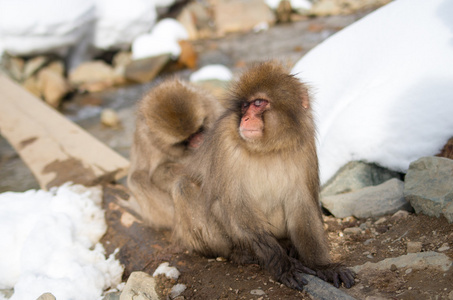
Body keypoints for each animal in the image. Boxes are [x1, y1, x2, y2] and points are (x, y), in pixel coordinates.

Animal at [127, 78, 221, 229]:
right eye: (186, 140)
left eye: (199, 130)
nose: (199, 140)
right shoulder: (146, 141)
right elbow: (157, 173)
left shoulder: (212, 105)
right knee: (137, 178)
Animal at [171, 61, 354, 290]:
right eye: (244, 106)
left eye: (258, 103)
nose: (246, 118)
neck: (268, 148)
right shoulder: (224, 142)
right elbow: (234, 206)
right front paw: (284, 265)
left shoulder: (304, 144)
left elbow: (302, 203)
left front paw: (322, 265)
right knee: (183, 186)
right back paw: (240, 254)